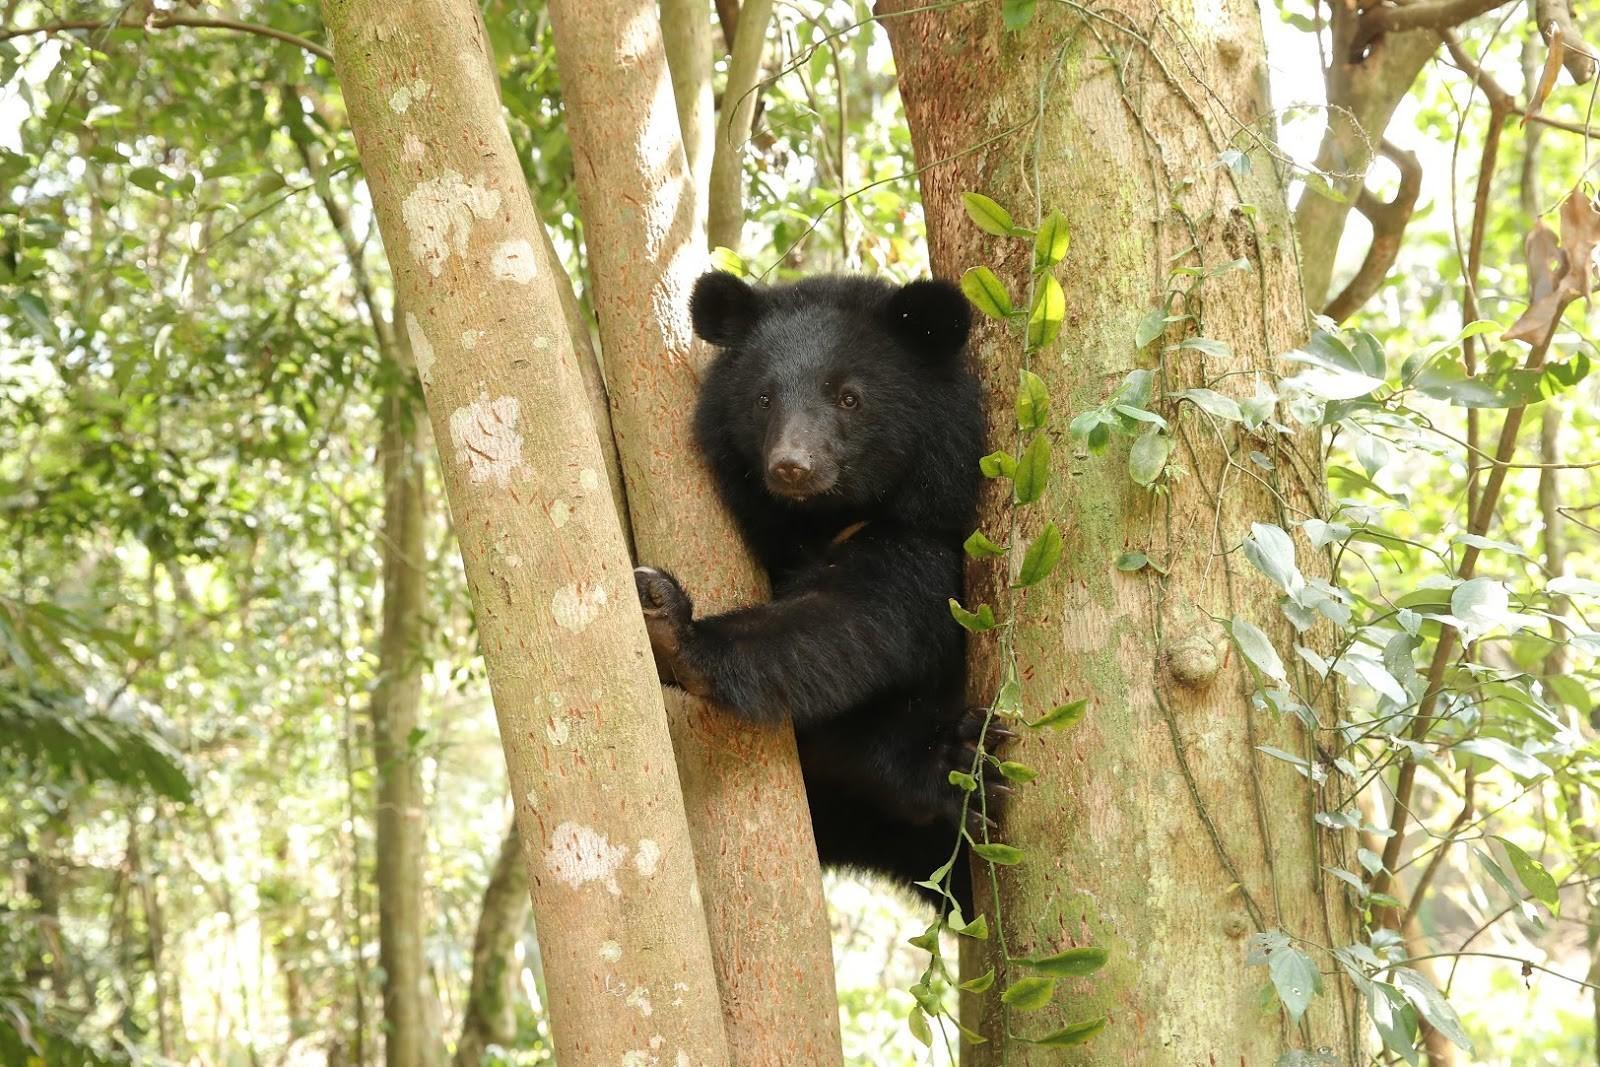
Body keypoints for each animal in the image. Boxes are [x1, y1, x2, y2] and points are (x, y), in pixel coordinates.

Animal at [631, 270, 1009, 912]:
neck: (825, 519)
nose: (792, 466)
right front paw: (662, 617)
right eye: (763, 399)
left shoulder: (930, 530)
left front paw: (675, 630)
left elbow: (859, 617)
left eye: (849, 397)